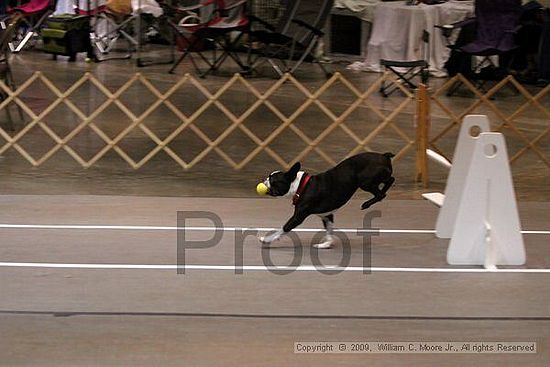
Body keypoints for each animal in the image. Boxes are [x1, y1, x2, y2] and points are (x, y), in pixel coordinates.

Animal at [260, 151, 394, 249]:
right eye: (269, 177)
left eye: (272, 180)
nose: (265, 180)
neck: (300, 186)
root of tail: (384, 156)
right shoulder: (327, 215)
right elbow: (329, 231)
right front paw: (326, 244)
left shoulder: (298, 217)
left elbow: (284, 228)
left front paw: (266, 239)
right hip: (375, 179)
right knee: (390, 181)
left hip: (365, 182)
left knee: (381, 194)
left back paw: (366, 204)